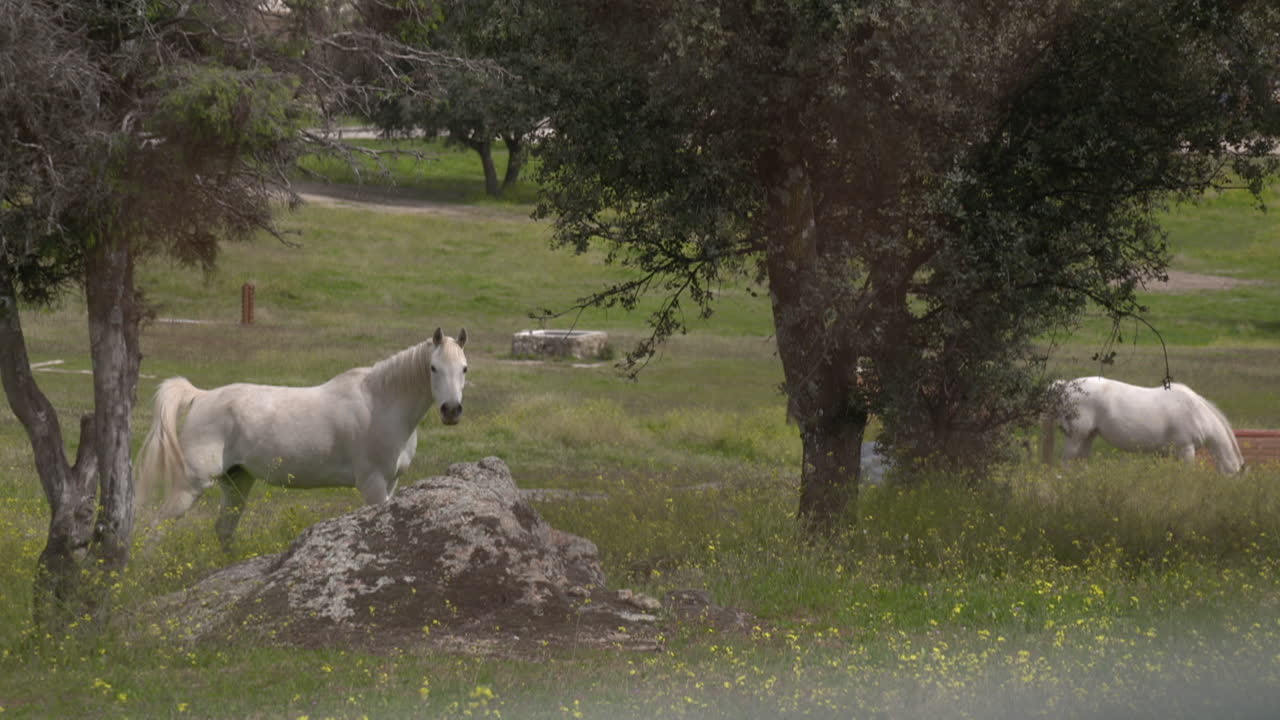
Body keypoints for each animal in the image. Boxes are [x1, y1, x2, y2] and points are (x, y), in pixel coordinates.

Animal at [135, 327, 468, 547]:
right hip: (191, 484)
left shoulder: (391, 483)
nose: (451, 410)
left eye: (464, 368)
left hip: (237, 481)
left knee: (224, 530)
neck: (381, 402)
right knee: (156, 529)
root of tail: (201, 396)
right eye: (433, 367)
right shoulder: (373, 485)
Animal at [1040, 376, 1243, 474]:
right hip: (1075, 437)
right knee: (1066, 462)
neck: (1196, 411)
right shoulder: (1186, 449)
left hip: (1088, 436)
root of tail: (1066, 386)